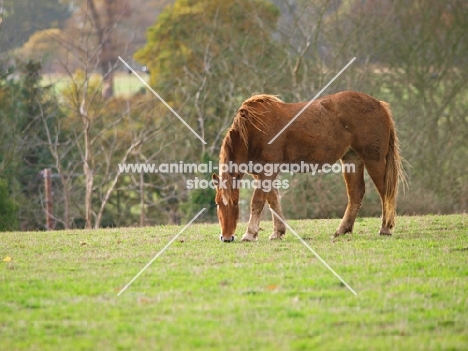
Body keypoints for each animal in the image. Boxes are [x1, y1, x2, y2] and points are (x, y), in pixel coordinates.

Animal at [212, 92, 406, 243]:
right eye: (217, 203)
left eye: (235, 203)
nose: (227, 237)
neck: (253, 130)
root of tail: (380, 105)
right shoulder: (263, 174)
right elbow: (273, 201)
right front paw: (278, 231)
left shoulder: (268, 170)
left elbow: (258, 202)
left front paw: (250, 234)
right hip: (352, 160)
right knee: (356, 194)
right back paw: (342, 230)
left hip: (374, 160)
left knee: (385, 192)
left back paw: (385, 228)